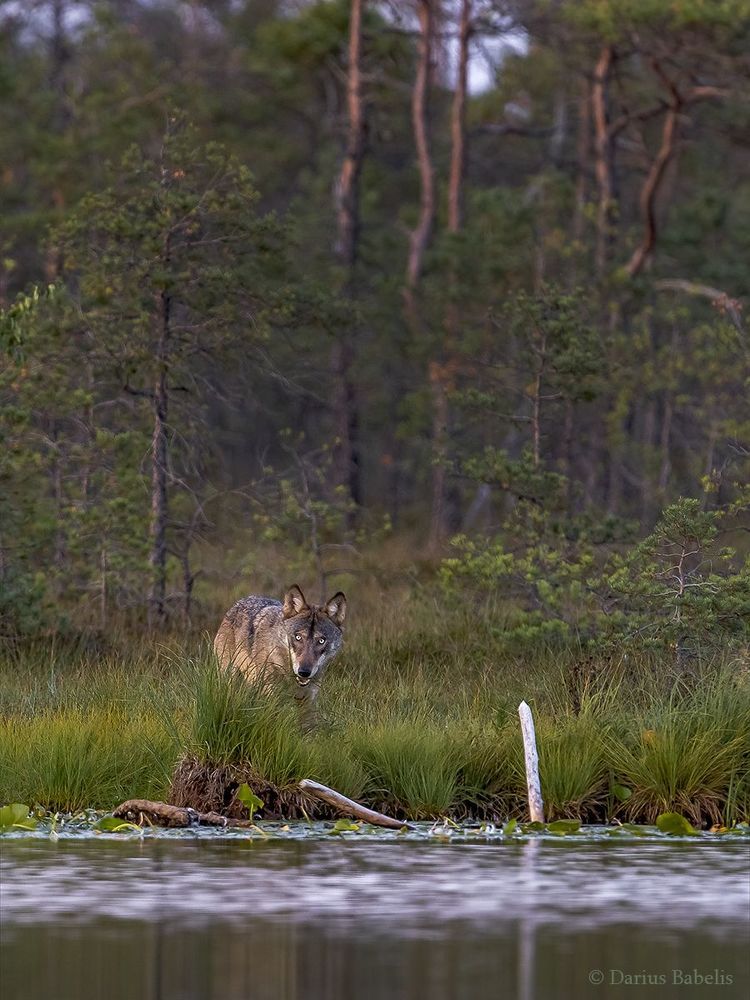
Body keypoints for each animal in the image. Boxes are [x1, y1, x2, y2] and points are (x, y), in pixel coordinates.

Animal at [214, 584, 347, 704]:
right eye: (298, 637)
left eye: (321, 641)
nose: (304, 672)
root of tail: (239, 602)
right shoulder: (270, 694)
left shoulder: (309, 701)